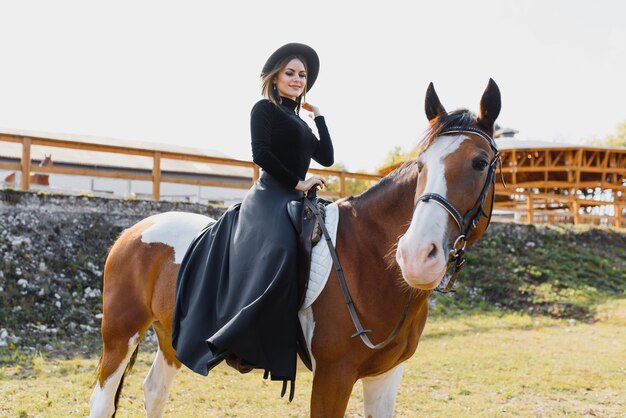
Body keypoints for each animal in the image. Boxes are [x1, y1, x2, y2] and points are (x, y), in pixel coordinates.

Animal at [89, 79, 498, 418]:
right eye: (421, 165)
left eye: (480, 163)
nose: (415, 256)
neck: (366, 258)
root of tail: (134, 231)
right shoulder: (333, 376)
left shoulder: (386, 375)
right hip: (120, 334)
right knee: (103, 400)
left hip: (171, 338)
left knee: (154, 391)